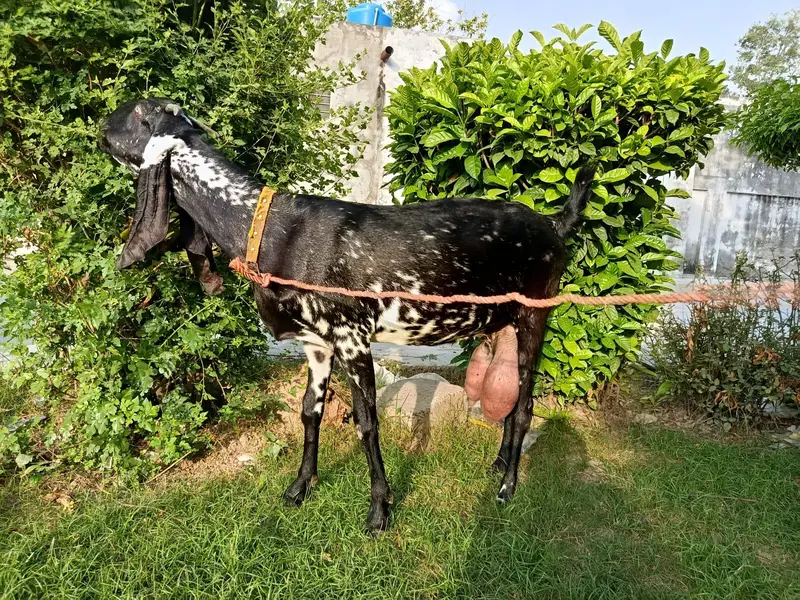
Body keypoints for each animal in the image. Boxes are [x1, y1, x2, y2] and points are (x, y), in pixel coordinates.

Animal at [99, 98, 595, 533]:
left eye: (134, 112)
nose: (100, 128)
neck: (273, 229)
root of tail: (553, 224)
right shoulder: (317, 344)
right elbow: (309, 412)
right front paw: (300, 487)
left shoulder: (353, 338)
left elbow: (367, 423)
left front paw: (380, 509)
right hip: (500, 325)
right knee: (508, 398)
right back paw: (497, 465)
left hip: (535, 316)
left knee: (525, 407)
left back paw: (508, 488)